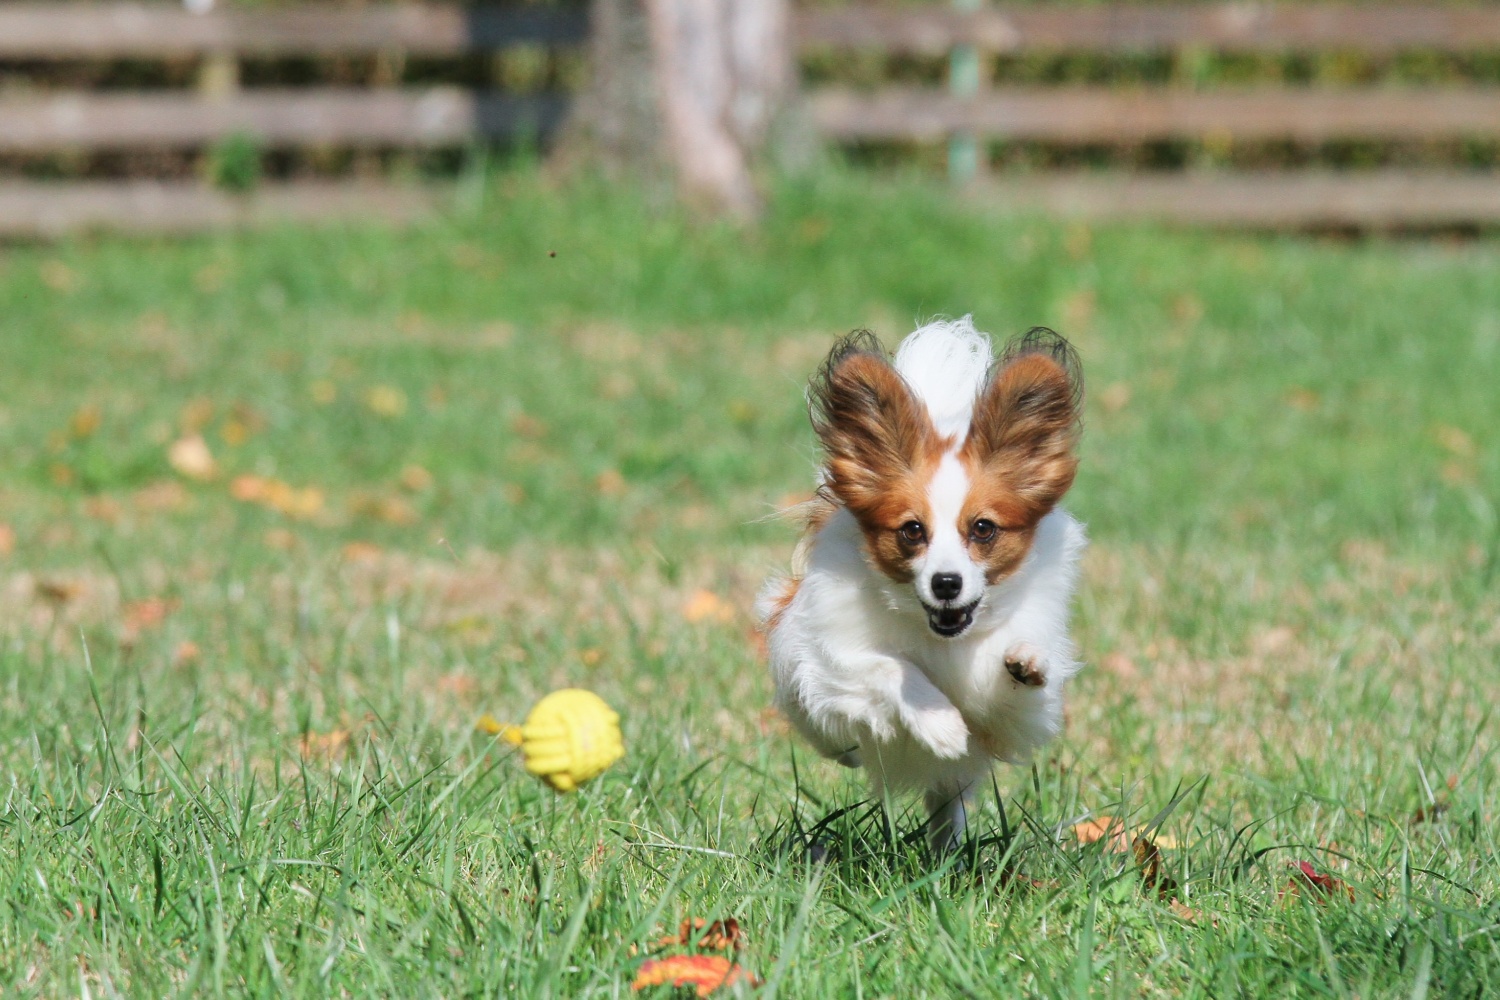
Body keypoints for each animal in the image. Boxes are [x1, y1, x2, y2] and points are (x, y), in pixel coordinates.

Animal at [756, 319, 1086, 851]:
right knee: (835, 741)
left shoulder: (1011, 720)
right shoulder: (831, 664)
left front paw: (1026, 662)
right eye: (912, 530)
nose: (946, 583)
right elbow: (891, 667)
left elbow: (1012, 684)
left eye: (983, 529)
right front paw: (941, 723)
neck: (940, 637)